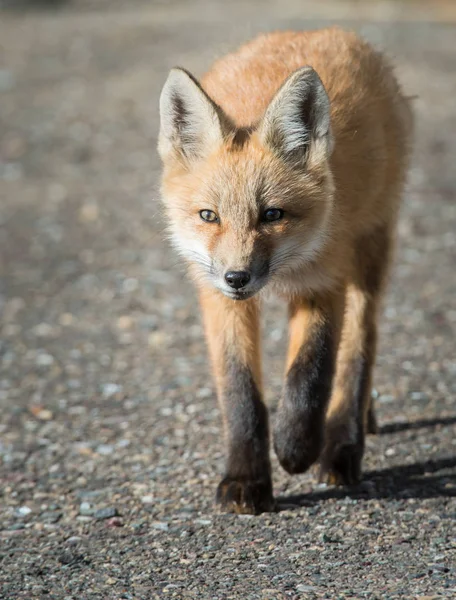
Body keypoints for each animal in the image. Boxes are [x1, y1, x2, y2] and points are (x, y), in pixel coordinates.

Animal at [159, 28, 416, 512]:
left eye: (272, 214)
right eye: (208, 216)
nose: (237, 278)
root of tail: (329, 32)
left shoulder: (324, 278)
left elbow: (310, 374)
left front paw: (296, 447)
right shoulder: (219, 298)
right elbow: (240, 393)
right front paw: (245, 480)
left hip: (370, 252)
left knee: (359, 350)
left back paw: (342, 447)